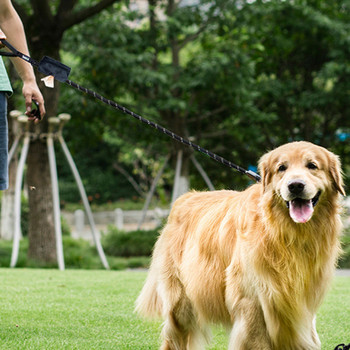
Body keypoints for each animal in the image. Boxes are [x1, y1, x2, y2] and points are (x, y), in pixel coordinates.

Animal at [136, 141, 344, 348]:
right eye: (281, 168)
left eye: (312, 165)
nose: (295, 186)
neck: (286, 234)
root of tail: (183, 198)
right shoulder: (251, 301)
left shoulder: (302, 304)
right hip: (182, 303)